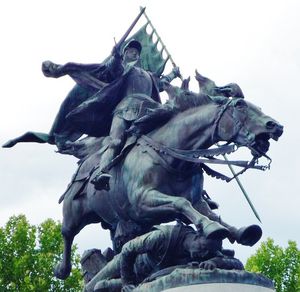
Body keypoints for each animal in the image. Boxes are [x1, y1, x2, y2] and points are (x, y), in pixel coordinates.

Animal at [55, 93, 282, 278]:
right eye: (240, 105)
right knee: (67, 234)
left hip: (117, 220)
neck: (173, 157)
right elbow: (181, 204)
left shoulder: (197, 201)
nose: (276, 126)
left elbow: (212, 214)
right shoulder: (143, 201)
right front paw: (211, 228)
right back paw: (63, 269)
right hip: (75, 214)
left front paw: (241, 231)